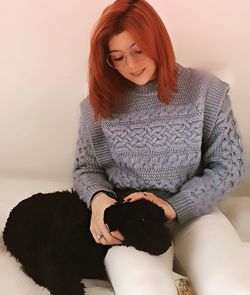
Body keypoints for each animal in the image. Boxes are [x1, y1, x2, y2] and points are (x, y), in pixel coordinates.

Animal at [2, 191, 172, 294]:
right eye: (142, 219)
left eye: (162, 221)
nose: (167, 243)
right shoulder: (56, 252)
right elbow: (62, 280)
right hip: (29, 242)